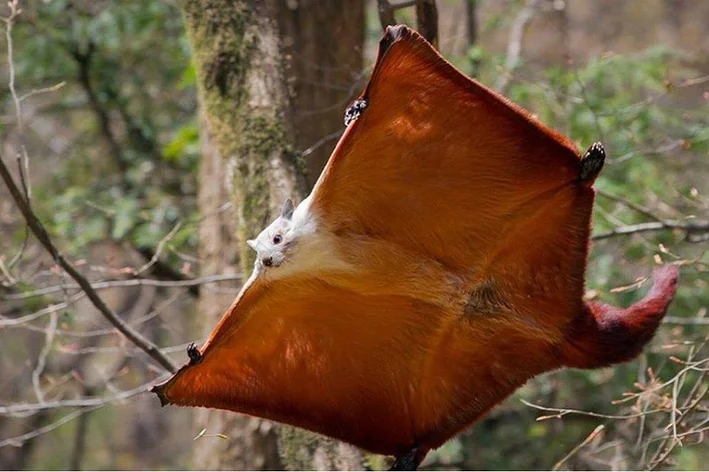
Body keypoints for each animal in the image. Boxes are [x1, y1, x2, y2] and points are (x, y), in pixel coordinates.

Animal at [152, 24, 676, 468]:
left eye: (277, 240)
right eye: (261, 257)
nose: (271, 260)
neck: (318, 248)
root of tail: (559, 332)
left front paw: (357, 108)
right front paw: (194, 357)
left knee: (575, 182)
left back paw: (586, 166)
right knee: (425, 432)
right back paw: (410, 451)